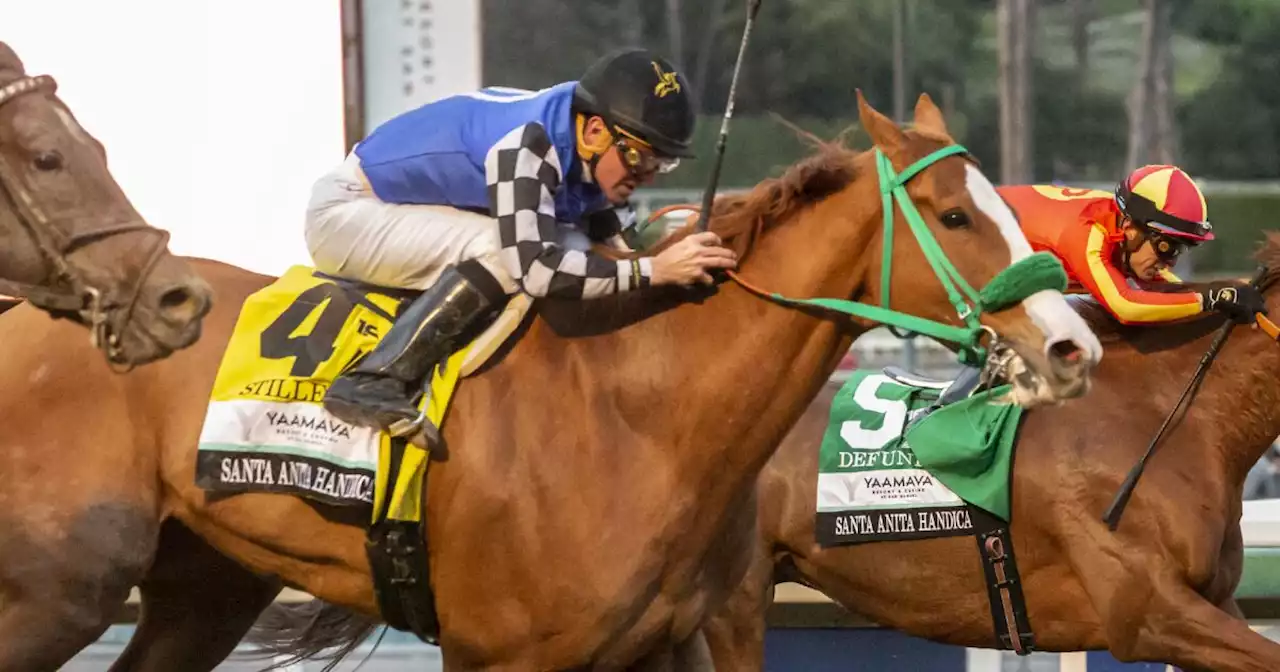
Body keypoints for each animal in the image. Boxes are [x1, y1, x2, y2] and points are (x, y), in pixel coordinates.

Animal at [0, 91, 1100, 665]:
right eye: (954, 216)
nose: (1070, 348)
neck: (644, 418)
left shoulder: (670, 643)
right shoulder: (500, 652)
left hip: (204, 585)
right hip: (54, 593)